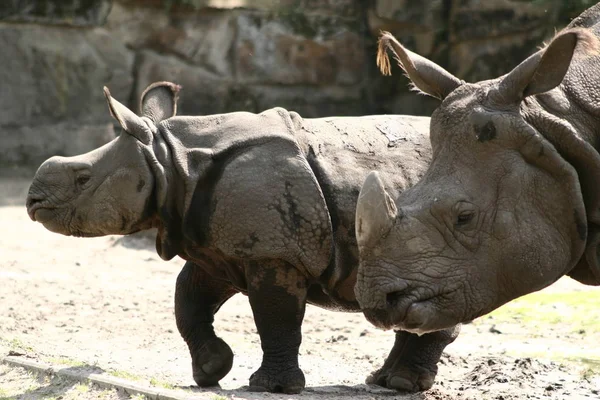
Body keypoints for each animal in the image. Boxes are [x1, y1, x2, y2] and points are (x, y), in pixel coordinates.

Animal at [25, 81, 460, 394]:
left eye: (83, 179)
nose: (32, 202)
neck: (169, 161)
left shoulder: (274, 252)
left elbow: (274, 315)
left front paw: (271, 387)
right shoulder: (219, 246)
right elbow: (188, 301)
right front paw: (210, 370)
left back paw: (399, 384)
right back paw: (384, 382)